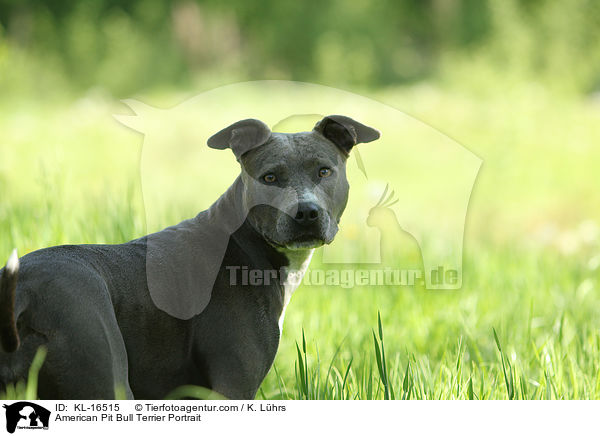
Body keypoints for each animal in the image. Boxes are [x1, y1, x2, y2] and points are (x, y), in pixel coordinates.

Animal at [0, 115, 380, 398]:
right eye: (269, 177)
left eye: (324, 171)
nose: (306, 213)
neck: (244, 245)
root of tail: (24, 292)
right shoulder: (233, 385)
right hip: (104, 377)